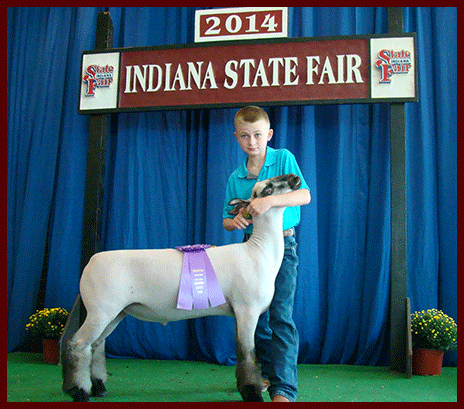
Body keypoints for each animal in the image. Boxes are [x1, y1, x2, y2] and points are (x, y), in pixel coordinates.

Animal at [60, 172, 300, 402]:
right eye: (267, 188)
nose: (295, 178)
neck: (258, 251)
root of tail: (90, 263)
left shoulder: (241, 312)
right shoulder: (246, 310)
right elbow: (247, 354)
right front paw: (252, 393)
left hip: (115, 313)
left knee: (96, 345)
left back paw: (99, 388)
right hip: (100, 310)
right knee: (77, 345)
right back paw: (78, 392)